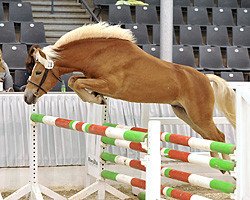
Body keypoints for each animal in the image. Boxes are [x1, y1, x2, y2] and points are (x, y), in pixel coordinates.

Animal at [23, 22, 234, 162]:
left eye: (38, 72)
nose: (27, 97)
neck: (99, 54)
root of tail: (205, 79)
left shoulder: (110, 85)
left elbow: (75, 81)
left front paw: (97, 99)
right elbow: (76, 81)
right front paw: (97, 98)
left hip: (199, 115)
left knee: (219, 137)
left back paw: (226, 168)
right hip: (183, 113)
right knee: (210, 138)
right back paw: (220, 166)